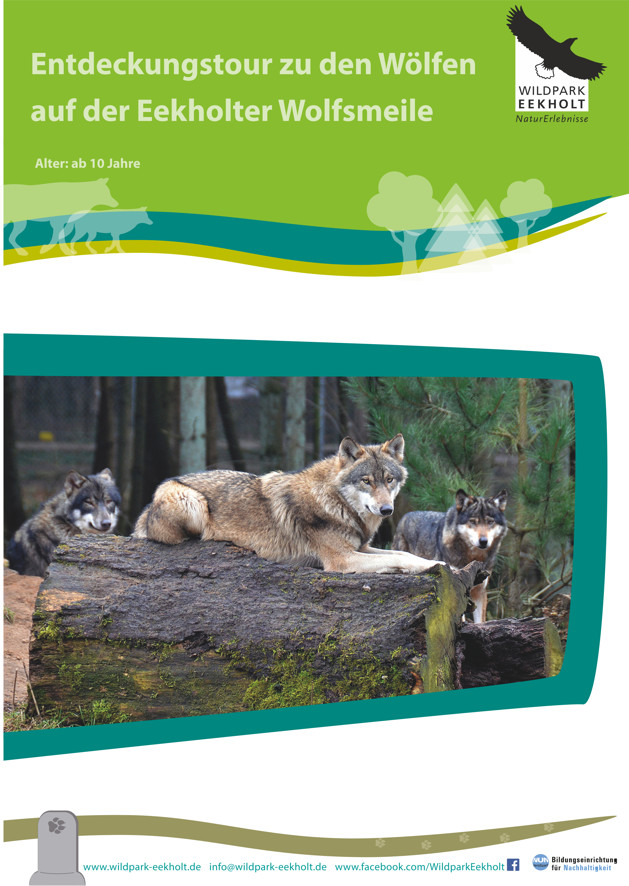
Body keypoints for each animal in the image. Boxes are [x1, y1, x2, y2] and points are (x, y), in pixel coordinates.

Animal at [133, 434, 444, 575]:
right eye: (366, 481)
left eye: (389, 480)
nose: (386, 510)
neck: (335, 502)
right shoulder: (342, 560)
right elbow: (398, 557)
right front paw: (428, 565)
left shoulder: (362, 547)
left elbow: (401, 554)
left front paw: (438, 564)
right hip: (192, 502)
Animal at [393, 490, 508, 622]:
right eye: (472, 521)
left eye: (490, 522)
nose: (483, 541)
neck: (473, 557)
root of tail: (405, 516)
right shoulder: (458, 590)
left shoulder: (480, 592)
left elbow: (480, 622)